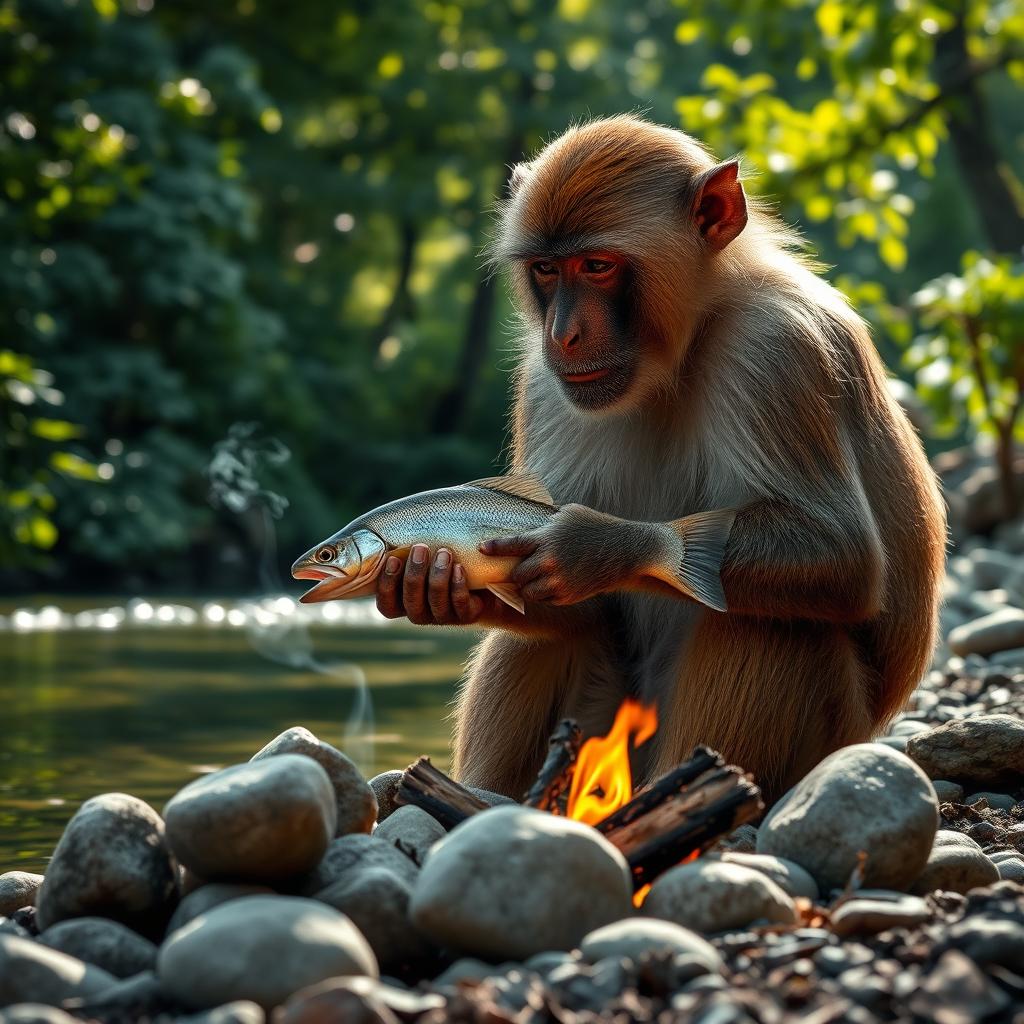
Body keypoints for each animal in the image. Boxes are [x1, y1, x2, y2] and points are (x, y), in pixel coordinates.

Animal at [375, 114, 946, 804]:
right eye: (547, 269)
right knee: (562, 637)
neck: (681, 348)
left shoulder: (779, 352)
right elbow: (558, 595)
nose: (562, 335)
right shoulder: (546, 385)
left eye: (597, 266)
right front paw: (439, 584)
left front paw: (592, 548)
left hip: (832, 737)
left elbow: (844, 555)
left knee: (777, 622)